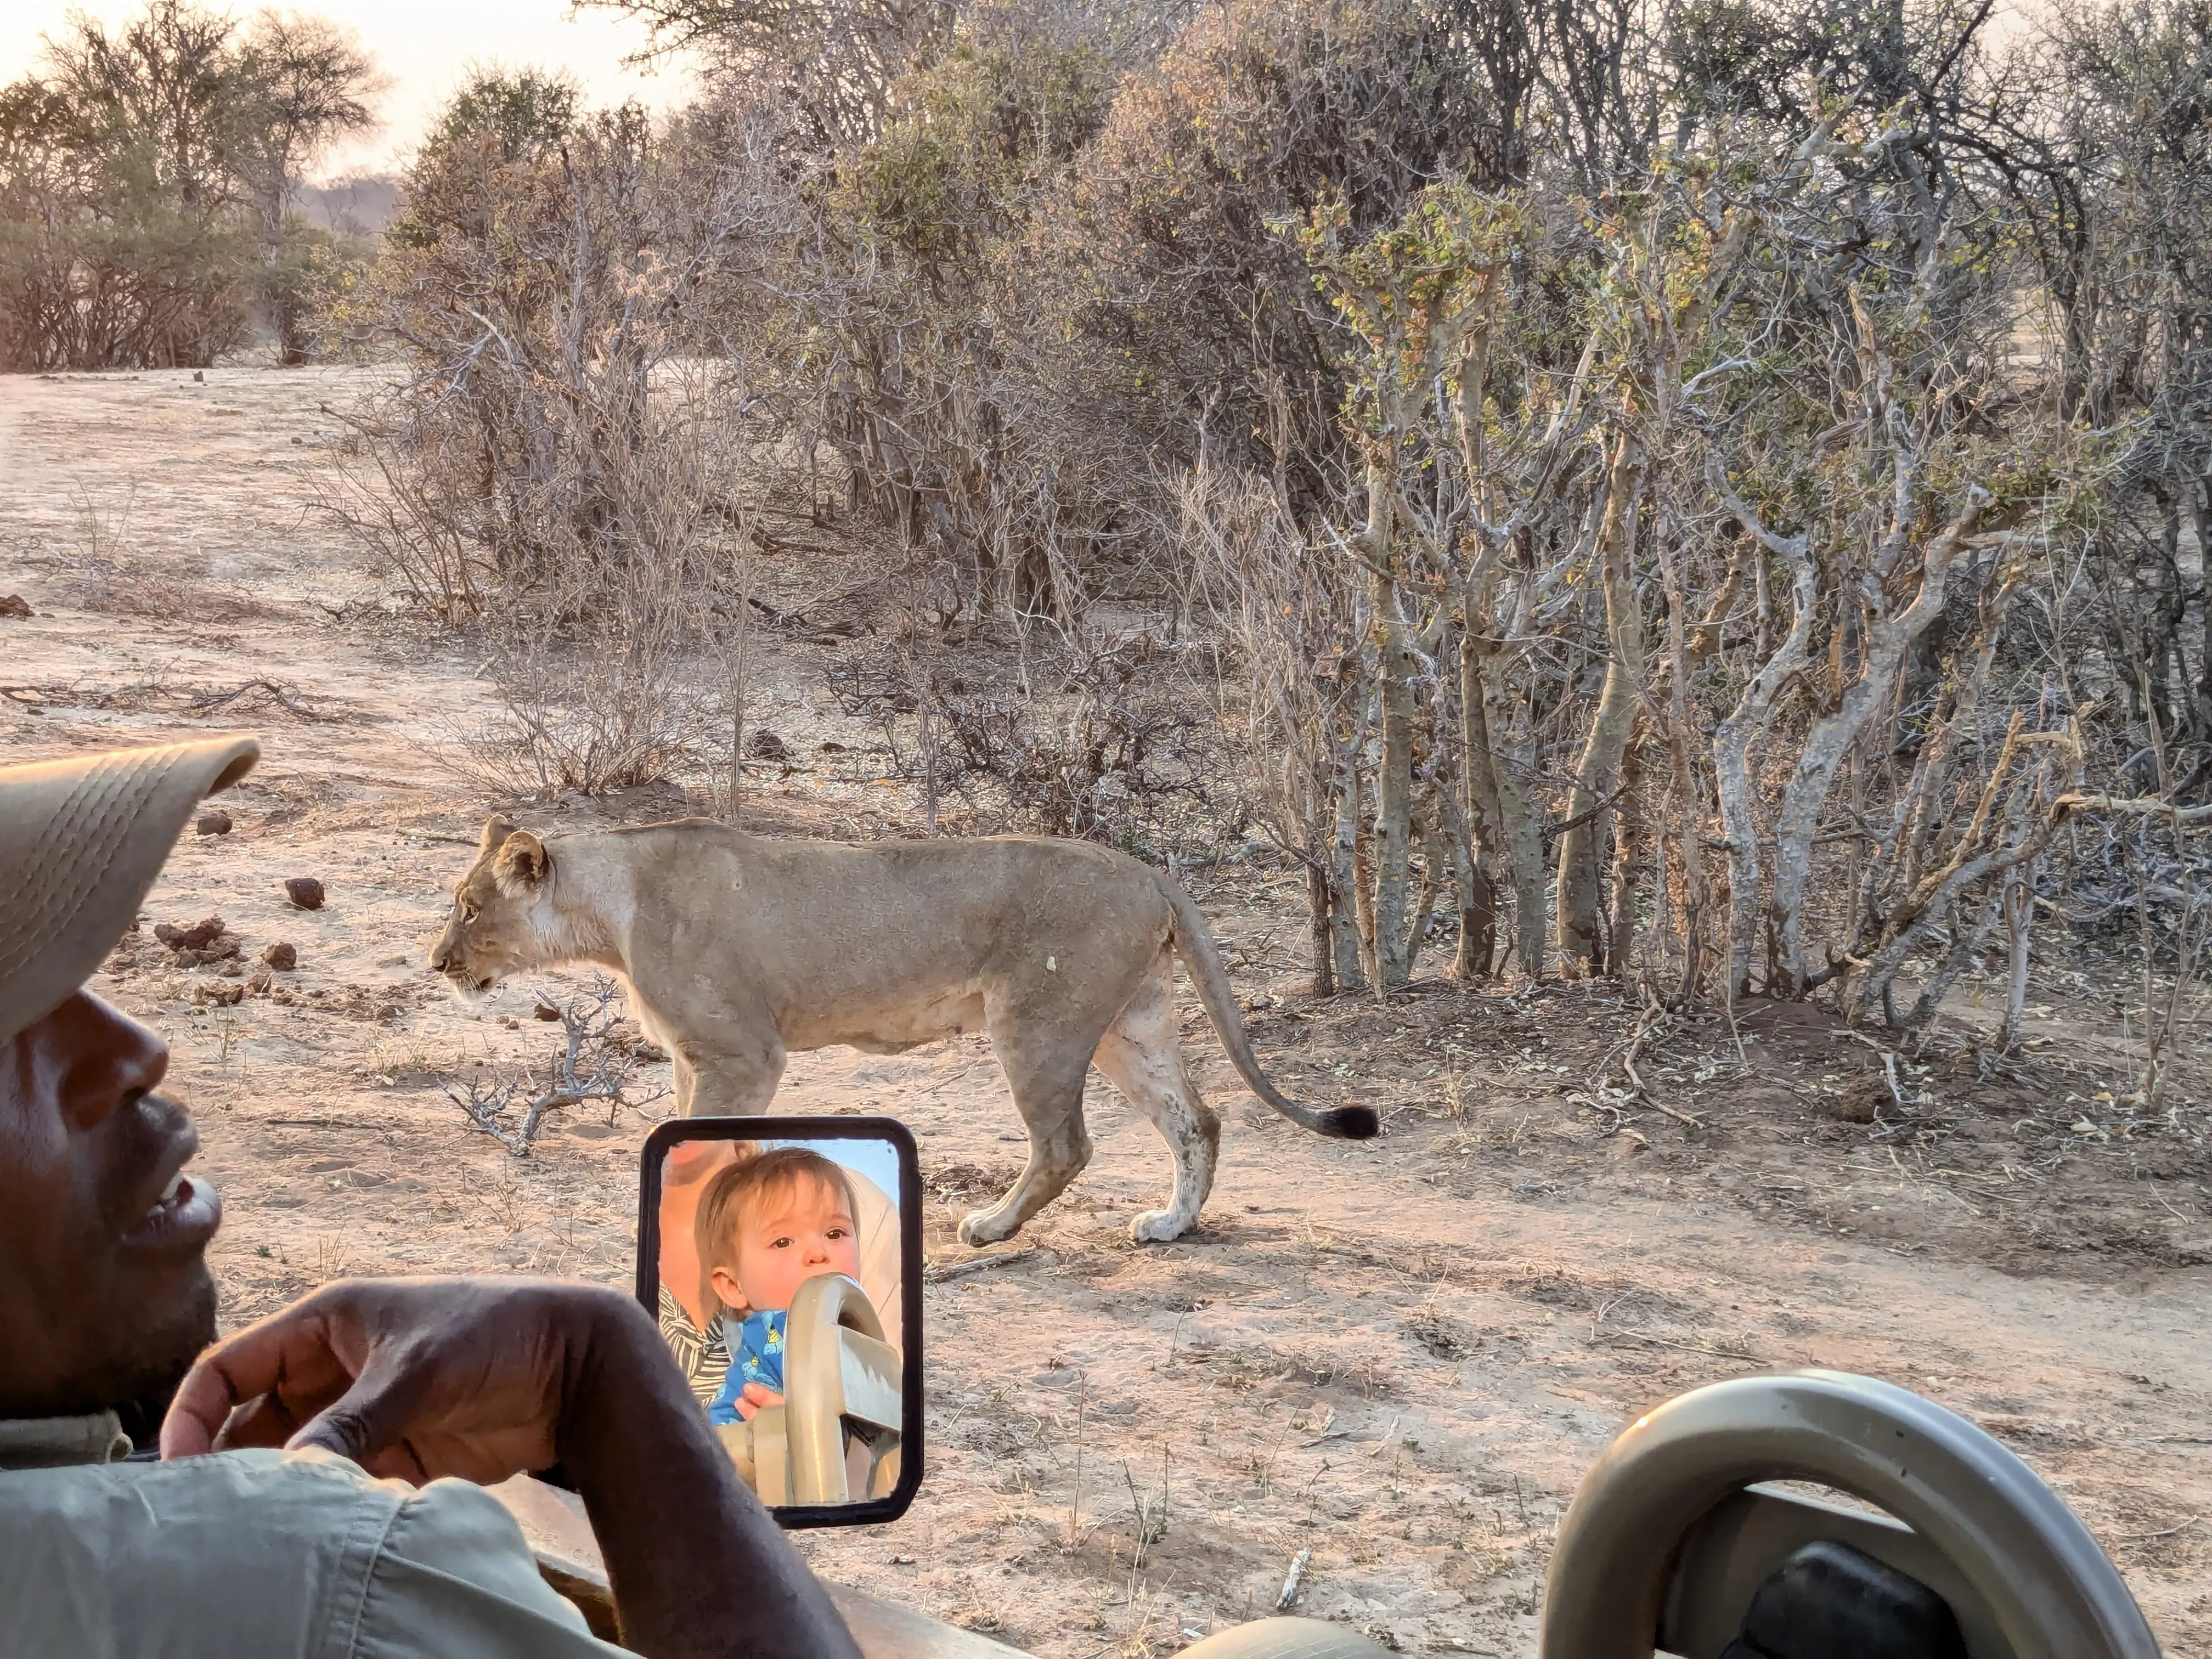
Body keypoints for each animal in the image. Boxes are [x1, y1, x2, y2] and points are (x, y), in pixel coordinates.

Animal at [428, 815, 1376, 1244]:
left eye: (469, 908)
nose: (438, 962)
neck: (612, 907)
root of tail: (1150, 873)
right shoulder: (698, 1059)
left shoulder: (744, 1054)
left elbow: (701, 1139)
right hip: (1127, 1027)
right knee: (1198, 1121)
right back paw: (1169, 1226)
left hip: (1036, 1024)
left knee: (1066, 1145)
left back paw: (990, 1228)